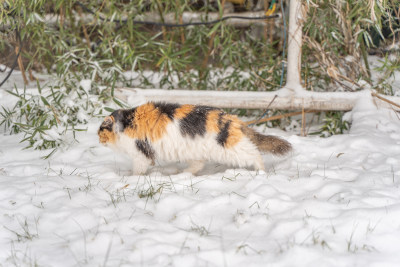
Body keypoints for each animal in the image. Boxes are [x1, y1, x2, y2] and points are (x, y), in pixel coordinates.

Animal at [97, 102, 290, 176]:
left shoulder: (140, 153)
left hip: (232, 149)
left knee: (255, 154)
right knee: (197, 165)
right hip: (194, 152)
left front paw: (131, 178)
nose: (98, 140)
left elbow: (138, 170)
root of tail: (233, 119)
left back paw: (261, 172)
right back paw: (183, 173)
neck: (124, 123)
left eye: (100, 131)